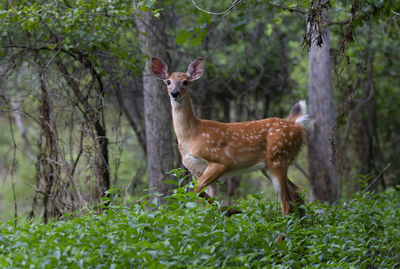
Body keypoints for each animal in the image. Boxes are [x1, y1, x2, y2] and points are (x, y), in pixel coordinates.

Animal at [152, 56, 308, 216]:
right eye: (168, 81)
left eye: (185, 82)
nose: (175, 93)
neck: (191, 135)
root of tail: (295, 124)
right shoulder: (197, 170)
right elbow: (204, 198)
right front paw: (223, 210)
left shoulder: (221, 161)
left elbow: (197, 189)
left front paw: (230, 209)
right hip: (269, 166)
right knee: (298, 192)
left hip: (278, 158)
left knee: (287, 203)